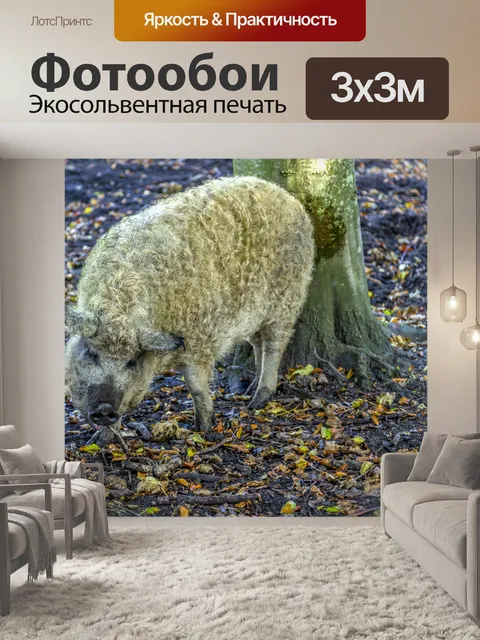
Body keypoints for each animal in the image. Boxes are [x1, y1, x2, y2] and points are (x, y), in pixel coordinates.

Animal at [65, 176, 315, 443]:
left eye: (131, 362)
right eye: (92, 354)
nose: (104, 409)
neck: (121, 307)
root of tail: (289, 198)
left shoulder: (198, 339)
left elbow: (195, 386)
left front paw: (203, 429)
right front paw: (98, 442)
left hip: (287, 298)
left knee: (274, 344)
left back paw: (257, 402)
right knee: (258, 343)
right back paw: (249, 388)